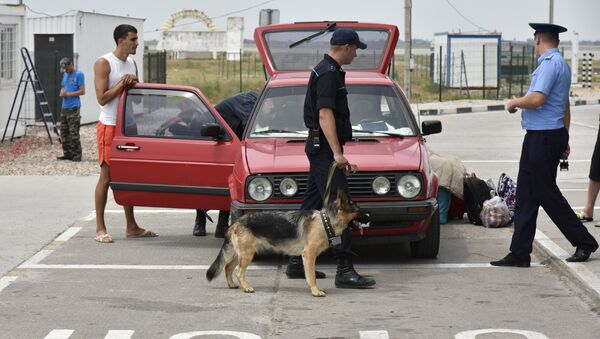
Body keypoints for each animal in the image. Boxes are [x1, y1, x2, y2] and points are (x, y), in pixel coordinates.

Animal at [205, 190, 366, 298]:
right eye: (359, 211)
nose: (369, 215)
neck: (325, 221)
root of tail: (236, 222)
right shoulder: (309, 256)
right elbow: (312, 276)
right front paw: (315, 291)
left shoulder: (307, 257)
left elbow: (309, 275)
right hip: (246, 255)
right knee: (238, 272)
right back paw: (246, 288)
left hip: (238, 254)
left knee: (227, 267)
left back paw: (232, 285)